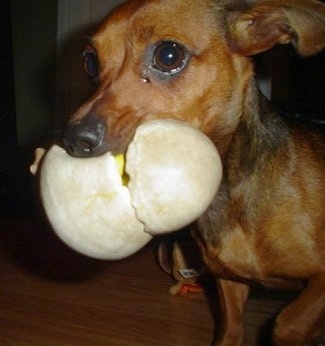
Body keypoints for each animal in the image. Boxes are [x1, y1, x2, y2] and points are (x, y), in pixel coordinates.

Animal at [61, 0, 324, 344]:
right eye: (90, 62)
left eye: (168, 55)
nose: (73, 139)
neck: (228, 193)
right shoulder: (230, 284)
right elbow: (231, 329)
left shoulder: (319, 284)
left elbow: (288, 322)